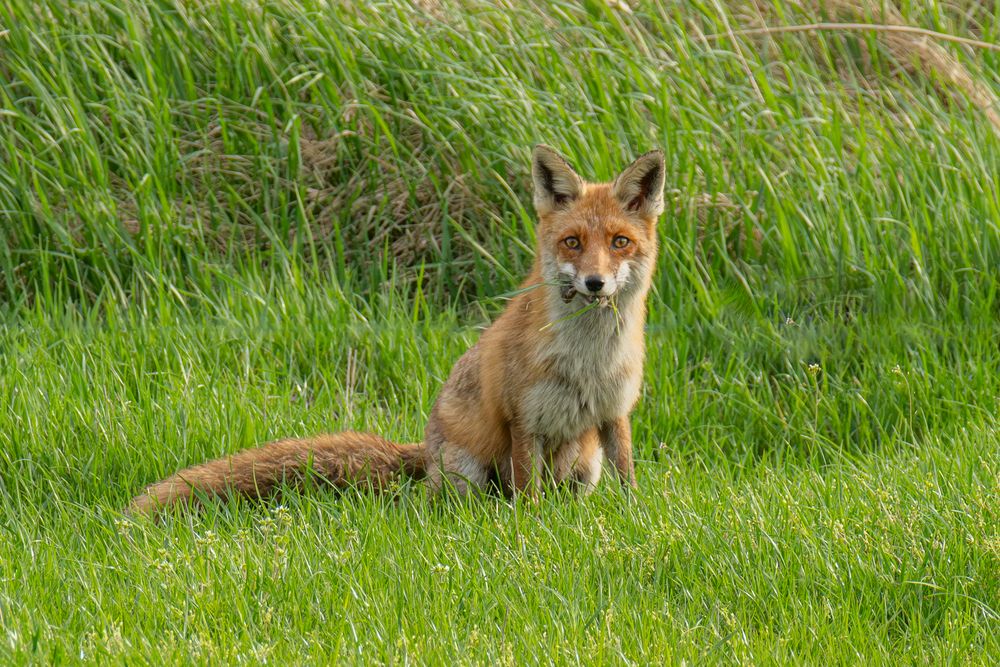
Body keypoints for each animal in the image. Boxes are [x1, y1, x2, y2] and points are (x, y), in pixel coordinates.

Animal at [131, 142, 664, 516]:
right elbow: (529, 502)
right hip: (468, 475)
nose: (595, 283)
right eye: (572, 242)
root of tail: (424, 450)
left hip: (584, 466)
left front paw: (634, 518)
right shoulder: (523, 422)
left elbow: (629, 479)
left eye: (619, 242)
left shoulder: (614, 413)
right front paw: (531, 531)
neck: (586, 360)